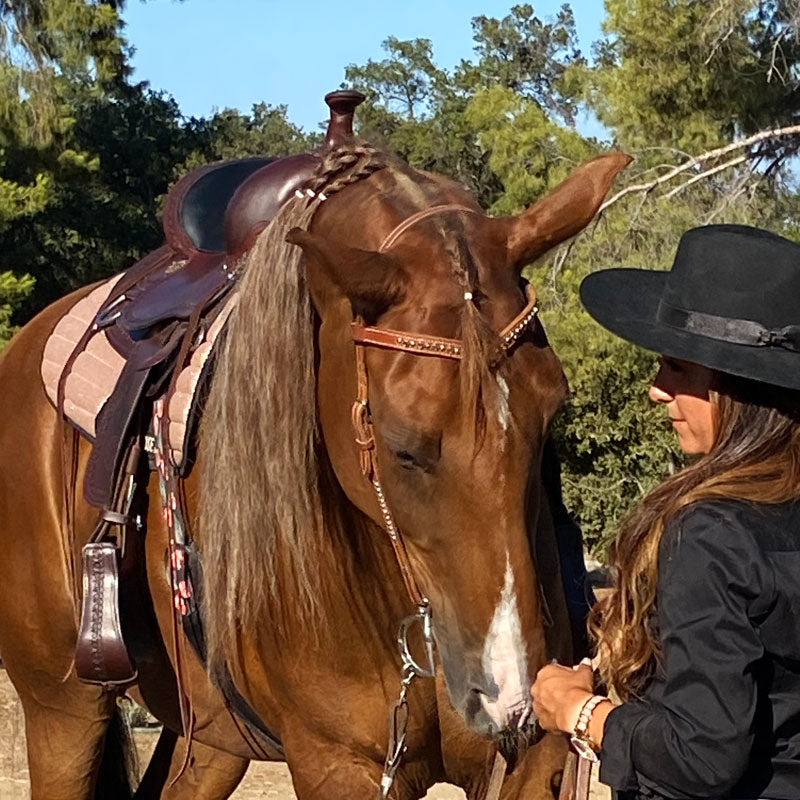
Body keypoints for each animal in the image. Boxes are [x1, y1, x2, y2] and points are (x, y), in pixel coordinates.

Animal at [0, 134, 628, 796]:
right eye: (402, 446)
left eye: (551, 412)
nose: (508, 692)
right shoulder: (337, 764)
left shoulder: (536, 758)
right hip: (63, 712)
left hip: (213, 739)